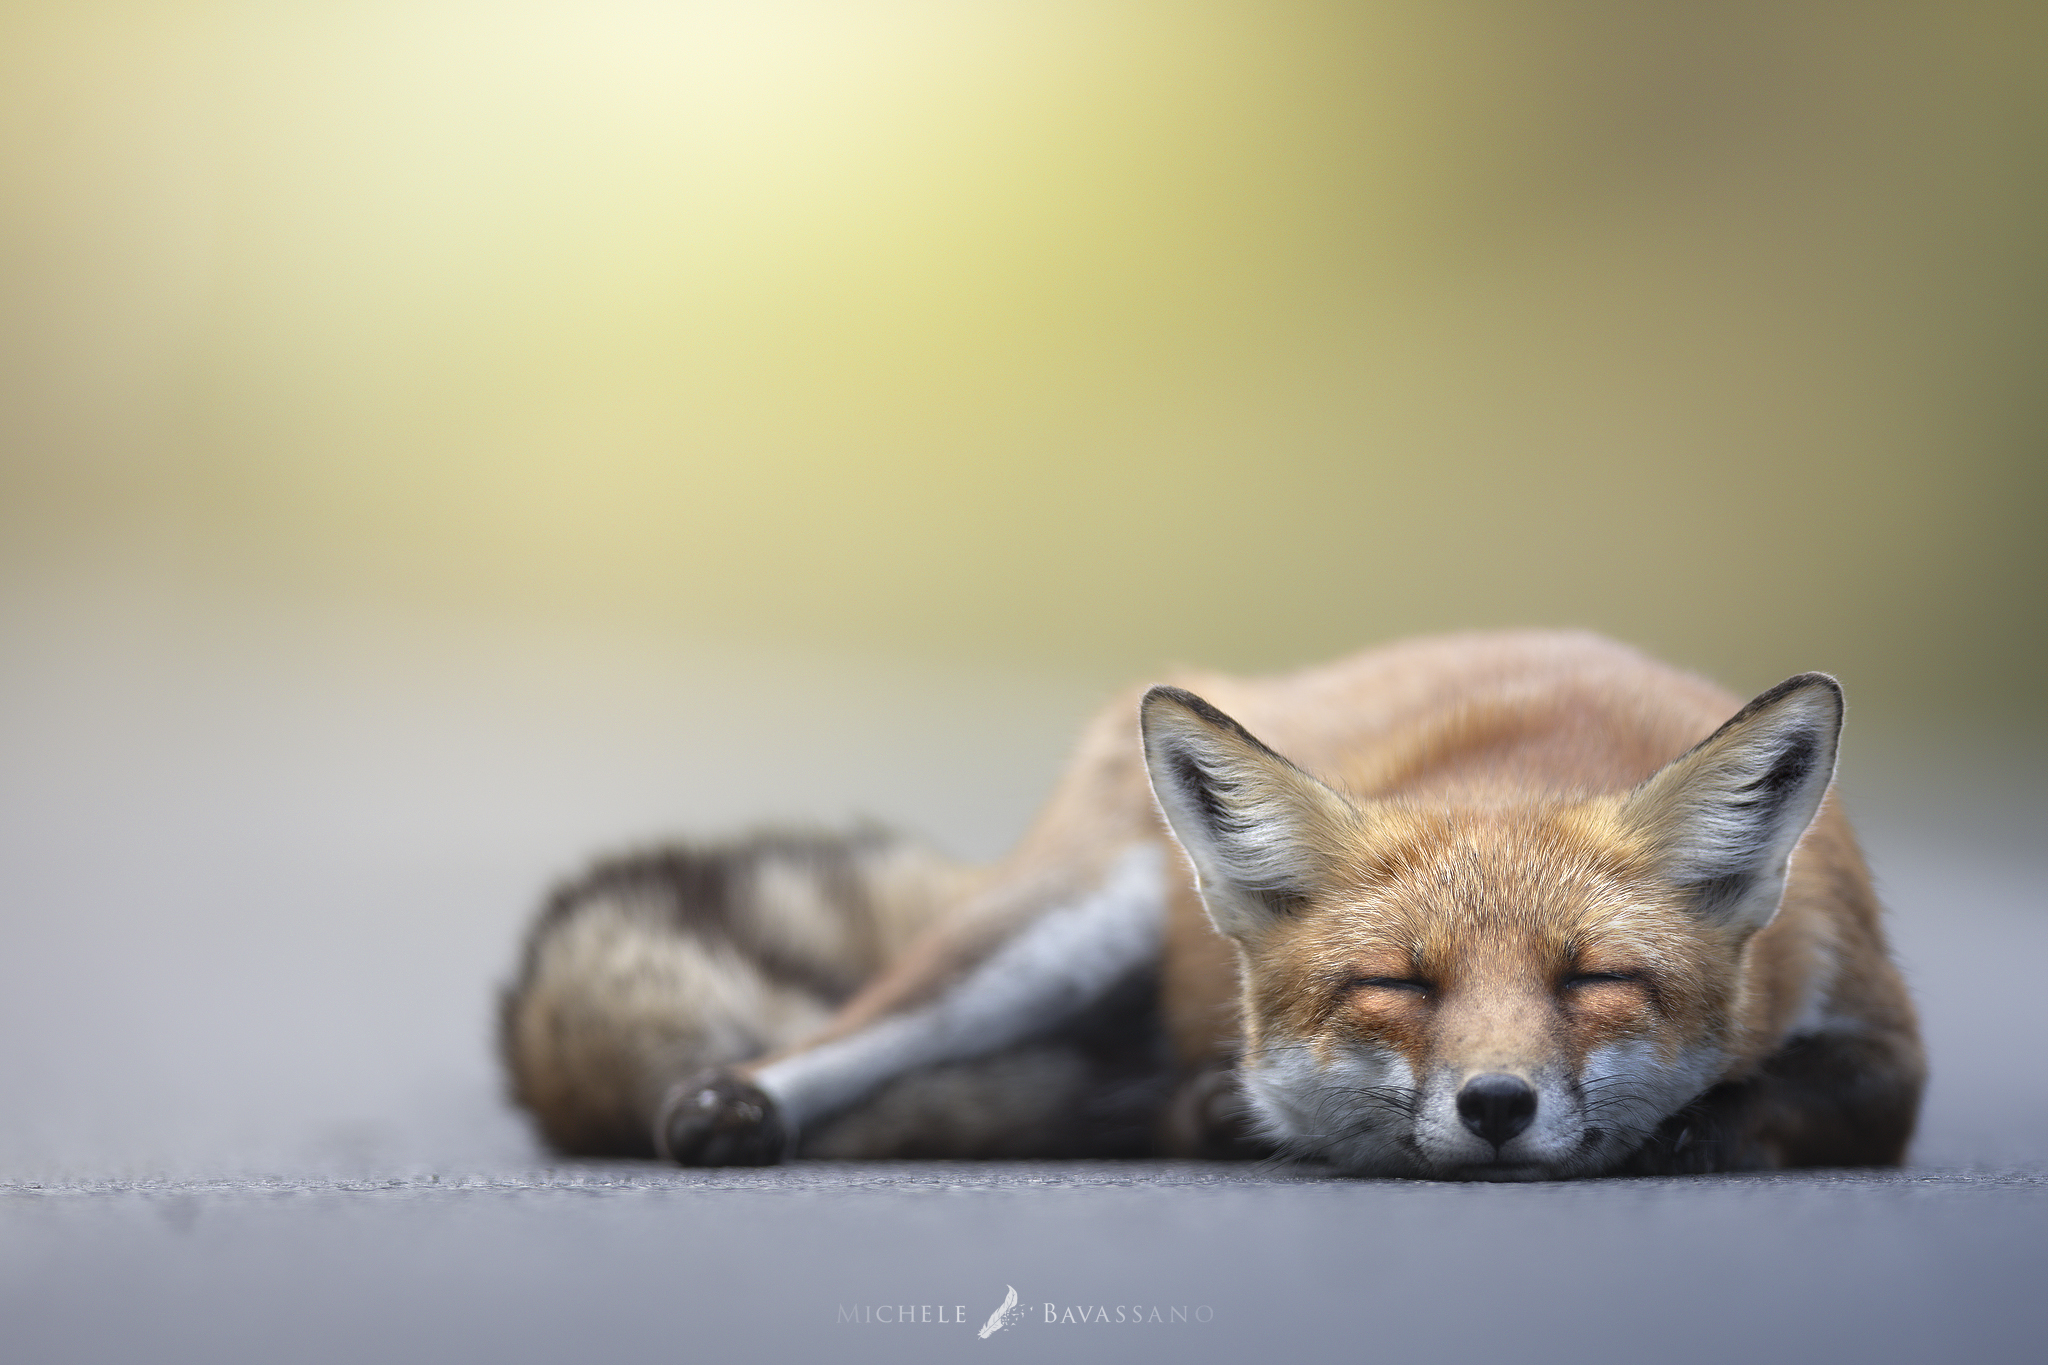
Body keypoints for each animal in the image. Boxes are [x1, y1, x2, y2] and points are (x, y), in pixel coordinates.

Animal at [501, 631, 1923, 1178]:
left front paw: (1688, 1129)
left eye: (1593, 981)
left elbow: (1778, 1102)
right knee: (819, 1046)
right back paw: (735, 1109)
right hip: (1062, 926)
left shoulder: (1886, 1050)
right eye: (1396, 983)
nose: (1496, 1106)